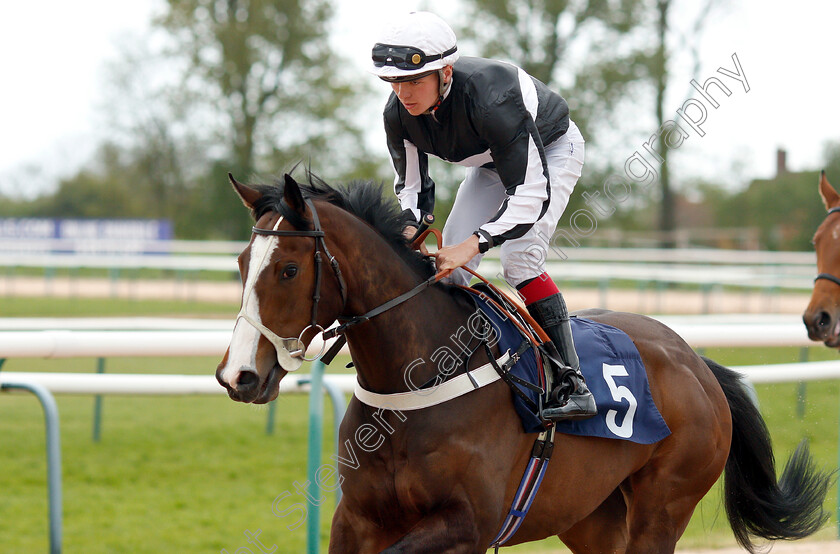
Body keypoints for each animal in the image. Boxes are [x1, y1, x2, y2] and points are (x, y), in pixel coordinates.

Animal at [217, 170, 832, 548]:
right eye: (243, 262)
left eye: (288, 269)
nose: (237, 375)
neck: (418, 383)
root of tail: (699, 364)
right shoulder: (359, 519)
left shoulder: (467, 524)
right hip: (591, 515)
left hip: (664, 506)